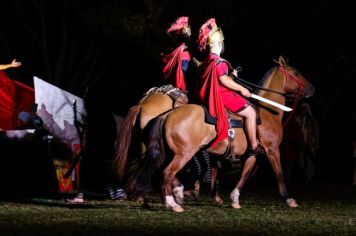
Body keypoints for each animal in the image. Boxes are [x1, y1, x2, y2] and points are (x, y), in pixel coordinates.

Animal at [124, 56, 316, 212]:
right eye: (296, 73)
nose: (311, 89)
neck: (268, 112)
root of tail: (167, 114)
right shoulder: (272, 150)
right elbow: (279, 174)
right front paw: (289, 199)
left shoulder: (252, 154)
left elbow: (244, 175)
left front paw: (234, 199)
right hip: (183, 153)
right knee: (166, 173)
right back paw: (172, 202)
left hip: (168, 152)